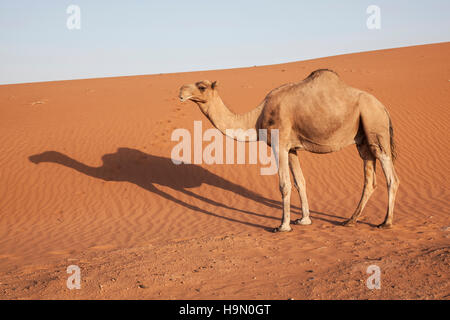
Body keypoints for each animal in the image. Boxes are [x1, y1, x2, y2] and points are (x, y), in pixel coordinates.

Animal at [178, 69, 400, 231]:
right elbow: (300, 182)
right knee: (369, 179)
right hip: (363, 139)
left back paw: (385, 222)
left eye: (201, 86)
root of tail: (384, 108)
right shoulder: (292, 148)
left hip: (375, 125)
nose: (181, 91)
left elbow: (284, 184)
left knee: (392, 177)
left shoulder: (279, 143)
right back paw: (350, 220)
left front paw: (283, 225)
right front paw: (304, 220)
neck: (256, 118)